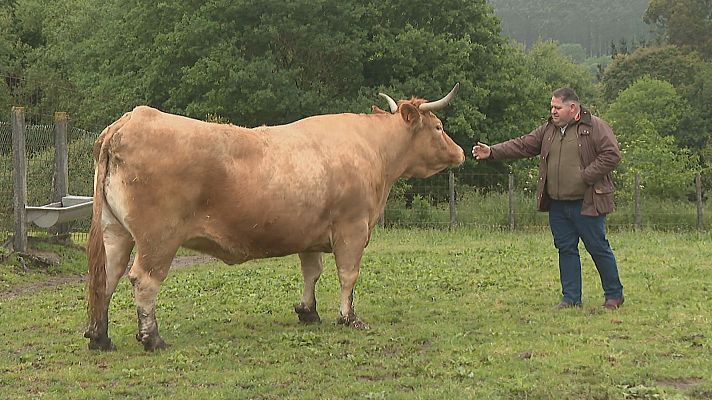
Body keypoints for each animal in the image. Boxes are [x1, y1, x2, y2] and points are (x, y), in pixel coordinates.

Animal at [84, 84, 465, 351]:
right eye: (437, 126)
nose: (461, 152)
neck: (373, 150)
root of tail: (131, 119)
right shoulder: (352, 228)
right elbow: (348, 275)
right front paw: (349, 318)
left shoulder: (311, 232)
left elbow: (312, 272)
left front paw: (308, 312)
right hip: (159, 238)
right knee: (143, 280)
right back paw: (152, 338)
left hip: (116, 232)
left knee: (107, 277)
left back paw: (100, 337)